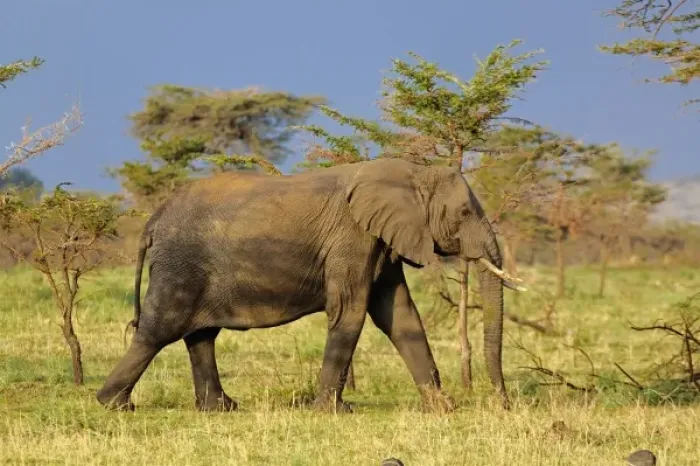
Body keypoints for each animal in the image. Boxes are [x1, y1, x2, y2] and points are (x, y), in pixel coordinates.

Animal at [96, 157, 521, 413]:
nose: (503, 402)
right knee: (159, 330)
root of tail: (155, 218)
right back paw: (113, 404)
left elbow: (400, 317)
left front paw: (441, 408)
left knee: (201, 335)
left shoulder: (380, 242)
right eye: (464, 213)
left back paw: (221, 409)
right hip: (181, 263)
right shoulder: (352, 238)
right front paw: (335, 412)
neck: (410, 171)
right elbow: (350, 313)